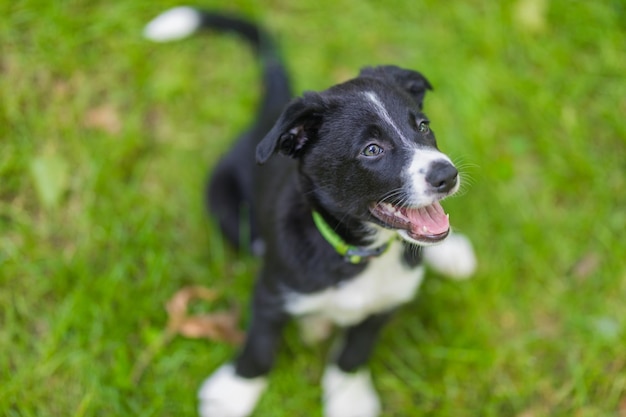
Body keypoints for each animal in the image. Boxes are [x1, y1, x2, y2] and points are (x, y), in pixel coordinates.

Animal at [144, 7, 476, 416]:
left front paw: (349, 398)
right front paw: (233, 392)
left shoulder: (386, 303)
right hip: (222, 203)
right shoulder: (272, 291)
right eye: (372, 149)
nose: (447, 175)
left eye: (424, 127)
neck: (358, 252)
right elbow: (260, 345)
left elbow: (354, 353)